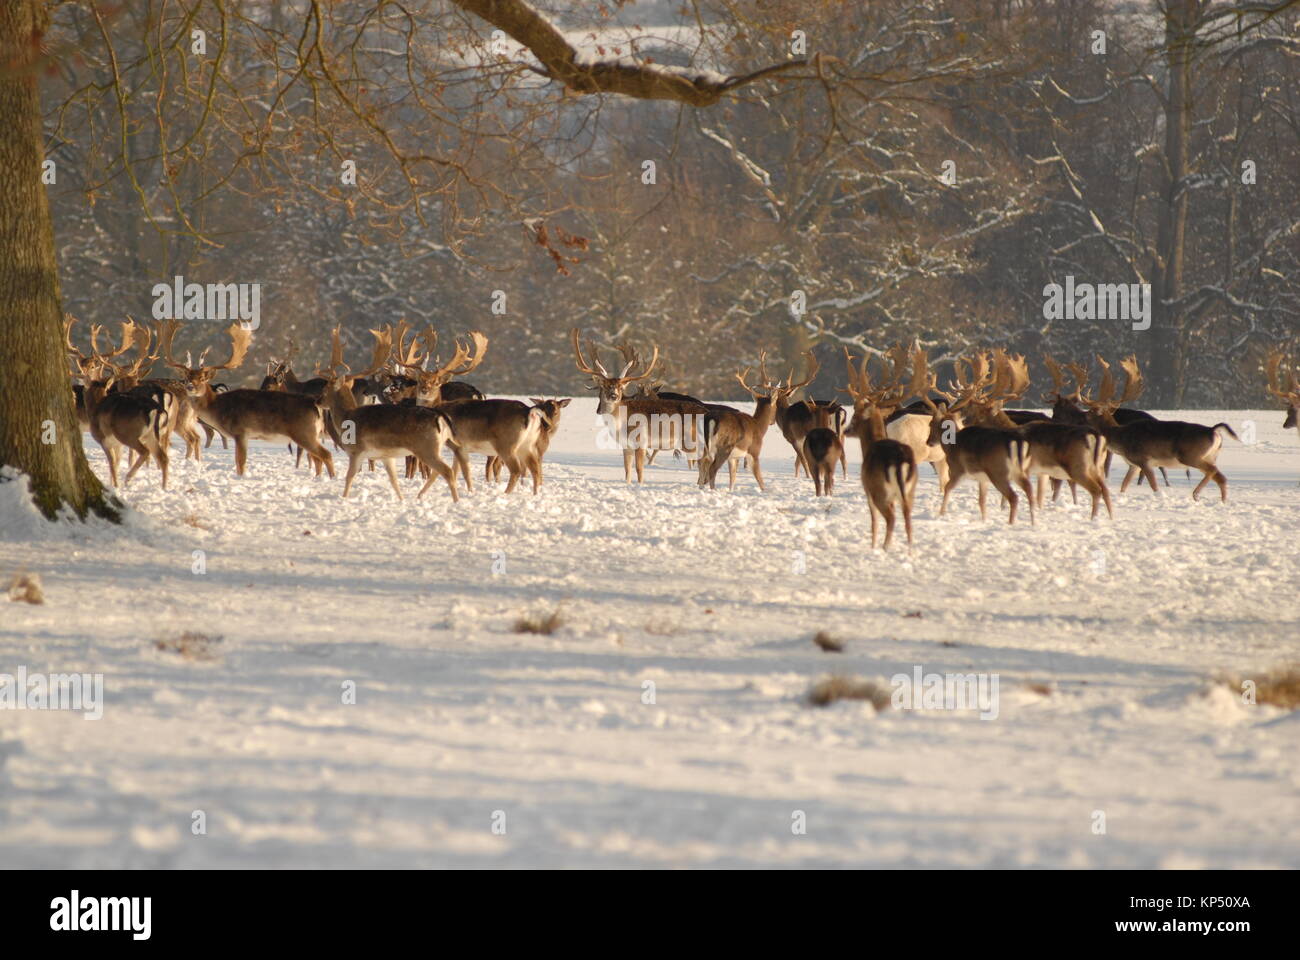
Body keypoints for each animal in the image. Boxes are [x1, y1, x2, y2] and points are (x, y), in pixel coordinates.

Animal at [65, 317, 171, 489]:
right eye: (80, 363)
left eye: (93, 365)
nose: (80, 373)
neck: (95, 406)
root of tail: (156, 410)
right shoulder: (116, 444)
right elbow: (116, 463)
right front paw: (113, 483)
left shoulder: (104, 439)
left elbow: (112, 464)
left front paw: (115, 485)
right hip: (152, 435)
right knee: (163, 457)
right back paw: (163, 488)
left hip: (128, 433)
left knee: (145, 452)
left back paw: (129, 478)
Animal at [159, 320, 335, 476]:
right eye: (187, 377)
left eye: (202, 378)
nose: (190, 386)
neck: (218, 408)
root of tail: (316, 405)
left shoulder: (240, 431)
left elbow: (240, 462)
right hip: (311, 434)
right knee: (318, 458)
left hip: (304, 432)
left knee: (326, 455)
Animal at [312, 325, 460, 496]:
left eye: (325, 388)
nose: (317, 401)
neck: (347, 417)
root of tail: (440, 417)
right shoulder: (386, 456)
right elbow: (394, 481)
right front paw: (401, 499)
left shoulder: (357, 451)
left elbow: (349, 477)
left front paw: (344, 498)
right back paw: (421, 496)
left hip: (426, 447)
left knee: (447, 471)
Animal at [572, 327, 707, 478]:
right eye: (604, 386)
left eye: (620, 387)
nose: (614, 395)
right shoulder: (626, 445)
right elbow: (627, 470)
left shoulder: (641, 441)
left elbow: (639, 469)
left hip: (691, 440)